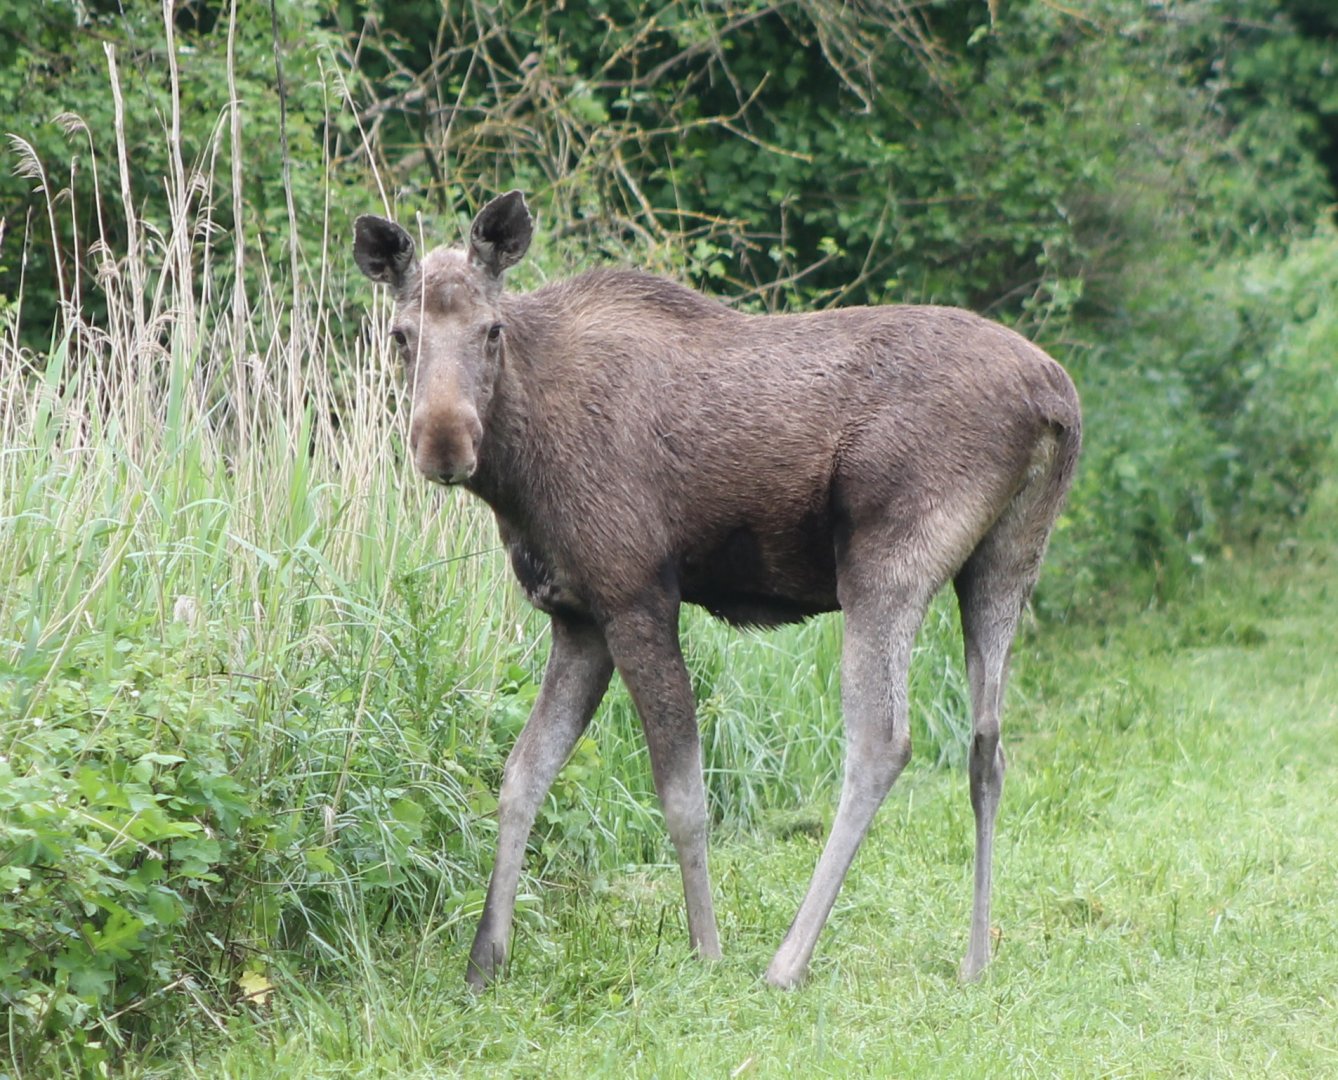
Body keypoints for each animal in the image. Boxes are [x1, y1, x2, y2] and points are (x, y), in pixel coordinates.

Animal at [353, 191, 1081, 990]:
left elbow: (682, 796)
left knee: (882, 743)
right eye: (399, 334)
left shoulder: (636, 596)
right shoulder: (577, 615)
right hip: (1005, 562)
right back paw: (976, 957)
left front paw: (705, 948)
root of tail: (1057, 401)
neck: (518, 471)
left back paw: (788, 959)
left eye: (491, 330)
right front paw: (485, 959)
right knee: (988, 746)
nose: (444, 445)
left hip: (887, 563)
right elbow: (521, 777)